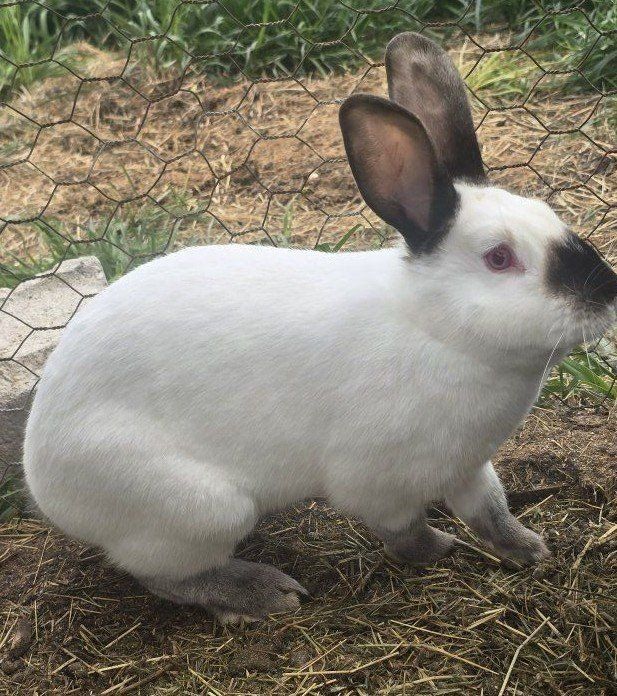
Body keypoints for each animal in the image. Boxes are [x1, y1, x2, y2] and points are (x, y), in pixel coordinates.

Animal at [23, 33, 617, 624]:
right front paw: (438, 550)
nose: (607, 292)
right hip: (203, 510)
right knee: (163, 576)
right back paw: (263, 593)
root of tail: (41, 476)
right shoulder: (380, 481)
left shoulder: (469, 465)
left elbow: (490, 510)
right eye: (498, 258)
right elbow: (403, 529)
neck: (437, 329)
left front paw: (530, 548)